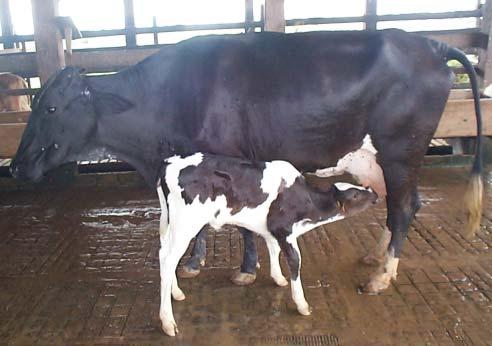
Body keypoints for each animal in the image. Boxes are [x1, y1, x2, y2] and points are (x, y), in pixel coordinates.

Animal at [9, 30, 482, 294]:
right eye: (37, 103)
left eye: (50, 107)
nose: (14, 167)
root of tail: (428, 43)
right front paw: (196, 262)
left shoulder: (231, 161)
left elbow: (241, 225)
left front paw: (245, 271)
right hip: (380, 160)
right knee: (403, 204)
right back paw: (376, 257)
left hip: (401, 149)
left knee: (403, 207)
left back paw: (382, 277)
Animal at [158, 152, 376, 336]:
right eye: (355, 195)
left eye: (361, 189)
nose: (374, 193)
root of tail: (170, 162)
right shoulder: (284, 230)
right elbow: (295, 262)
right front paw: (302, 304)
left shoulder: (272, 230)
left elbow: (273, 250)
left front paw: (278, 278)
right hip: (185, 224)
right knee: (169, 260)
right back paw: (168, 322)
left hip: (170, 222)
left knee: (163, 254)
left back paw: (176, 293)